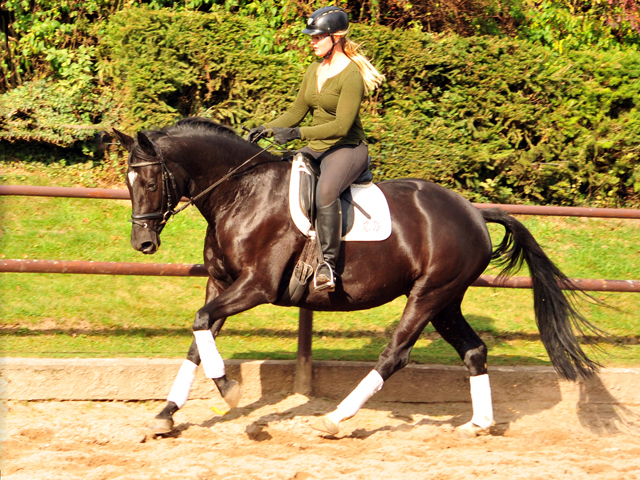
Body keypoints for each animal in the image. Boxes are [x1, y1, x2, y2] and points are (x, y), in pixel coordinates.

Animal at [114, 119, 600, 438]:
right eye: (129, 180)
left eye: (151, 182)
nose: (143, 243)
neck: (241, 193)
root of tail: (475, 213)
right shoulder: (220, 284)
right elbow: (198, 340)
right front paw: (166, 414)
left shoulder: (255, 286)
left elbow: (200, 324)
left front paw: (229, 390)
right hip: (446, 300)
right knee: (474, 350)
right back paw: (478, 424)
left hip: (428, 296)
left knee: (394, 355)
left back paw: (335, 419)